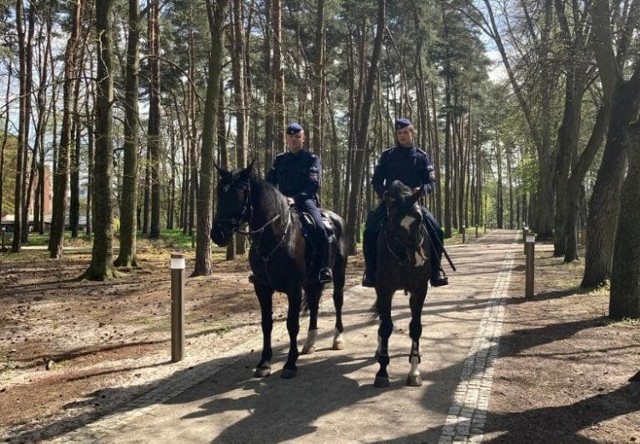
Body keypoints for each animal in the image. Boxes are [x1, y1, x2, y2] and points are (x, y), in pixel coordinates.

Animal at [212, 162, 348, 378]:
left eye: (240, 193)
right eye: (219, 192)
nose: (217, 233)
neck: (276, 236)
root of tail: (336, 218)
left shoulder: (294, 289)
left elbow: (292, 324)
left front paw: (290, 363)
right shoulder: (262, 287)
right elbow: (266, 324)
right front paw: (264, 363)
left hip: (338, 272)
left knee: (337, 301)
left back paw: (337, 339)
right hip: (312, 282)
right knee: (314, 304)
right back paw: (309, 344)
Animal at [370, 180, 430, 388]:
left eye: (419, 219)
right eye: (396, 222)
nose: (418, 259)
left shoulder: (419, 290)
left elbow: (416, 327)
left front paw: (414, 371)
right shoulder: (384, 289)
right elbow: (386, 326)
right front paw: (382, 372)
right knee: (382, 320)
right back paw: (379, 348)